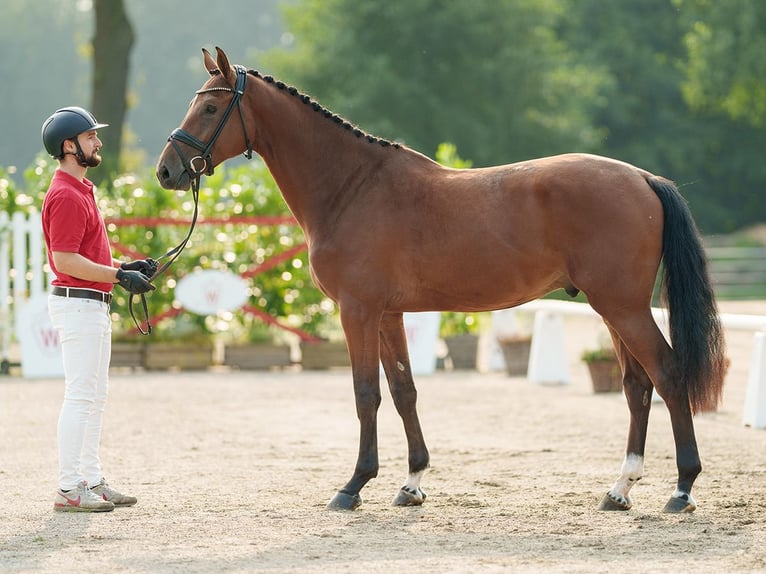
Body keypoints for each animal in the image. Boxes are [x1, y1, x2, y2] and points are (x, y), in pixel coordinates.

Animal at [156, 47, 728, 516]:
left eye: (211, 109)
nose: (167, 171)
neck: (351, 187)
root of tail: (643, 179)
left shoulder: (356, 310)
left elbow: (366, 393)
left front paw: (353, 486)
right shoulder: (388, 314)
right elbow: (403, 390)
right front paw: (411, 484)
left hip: (623, 307)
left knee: (667, 374)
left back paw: (682, 489)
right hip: (609, 307)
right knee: (637, 385)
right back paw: (620, 489)